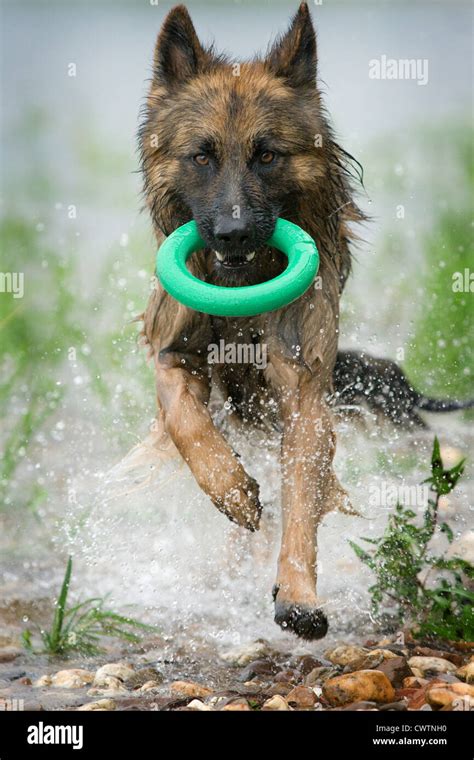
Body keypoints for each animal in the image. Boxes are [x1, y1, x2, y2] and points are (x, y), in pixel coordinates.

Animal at [137, 2, 470, 640]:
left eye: (266, 154)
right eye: (202, 155)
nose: (234, 234)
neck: (241, 294)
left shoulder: (303, 391)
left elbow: (301, 497)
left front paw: (297, 597)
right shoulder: (173, 355)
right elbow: (189, 425)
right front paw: (234, 492)